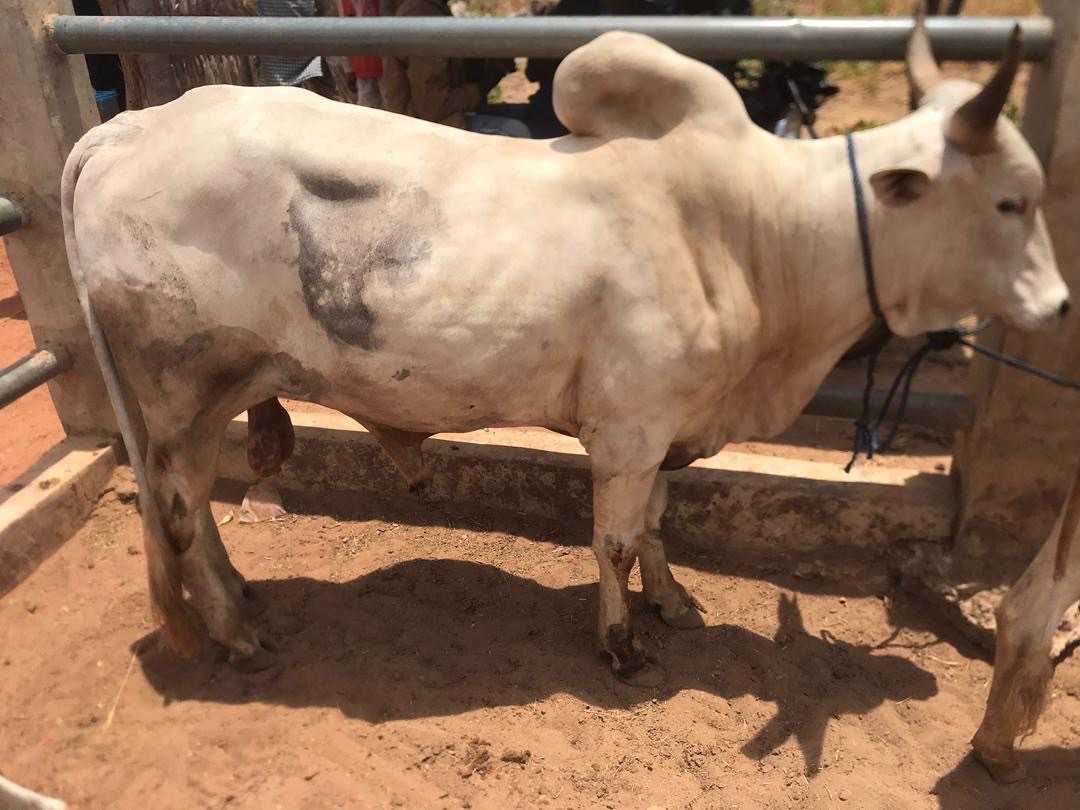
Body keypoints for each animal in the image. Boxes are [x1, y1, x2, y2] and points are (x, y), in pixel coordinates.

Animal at [61, 18, 1067, 687]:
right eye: (1010, 201)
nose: (1059, 306)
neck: (753, 232)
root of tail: (126, 127)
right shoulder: (629, 428)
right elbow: (616, 537)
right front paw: (621, 642)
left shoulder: (664, 430)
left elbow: (658, 522)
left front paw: (675, 601)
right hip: (180, 388)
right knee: (180, 508)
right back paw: (233, 633)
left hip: (212, 398)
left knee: (193, 509)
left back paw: (241, 599)